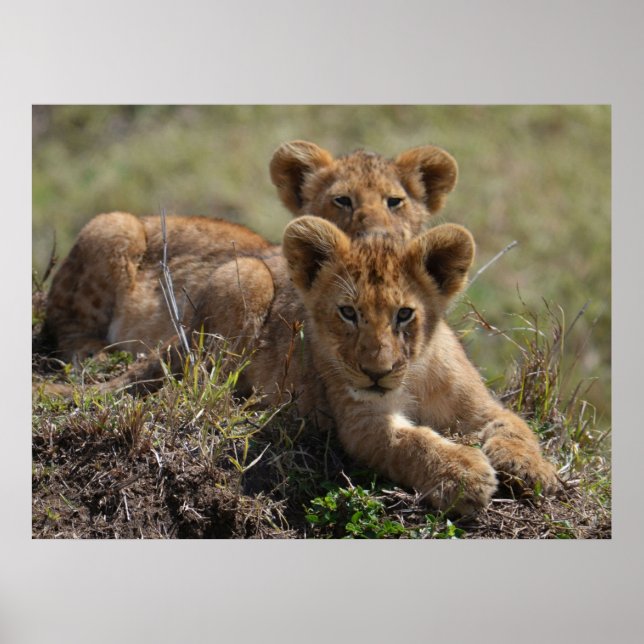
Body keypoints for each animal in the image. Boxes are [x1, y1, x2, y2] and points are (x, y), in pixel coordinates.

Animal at [79, 216, 557, 513]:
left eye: (405, 315)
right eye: (348, 313)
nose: (376, 372)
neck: (414, 376)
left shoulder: (479, 406)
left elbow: (516, 426)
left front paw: (534, 470)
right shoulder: (361, 424)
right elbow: (412, 442)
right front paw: (464, 476)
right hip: (245, 279)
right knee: (205, 380)